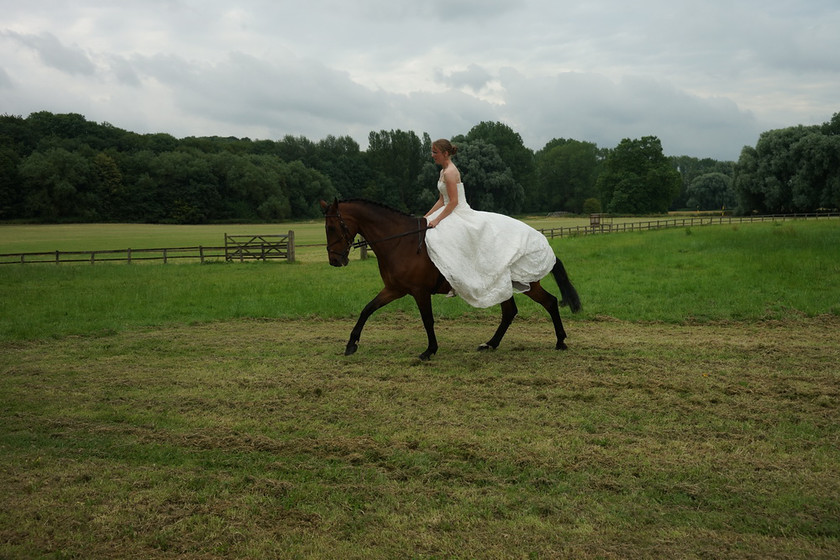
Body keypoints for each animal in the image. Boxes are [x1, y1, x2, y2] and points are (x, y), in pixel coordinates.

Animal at [318, 199, 580, 360]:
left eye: (331, 227)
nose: (334, 260)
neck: (401, 241)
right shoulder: (394, 289)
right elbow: (367, 309)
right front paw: (351, 344)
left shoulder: (419, 291)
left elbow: (427, 320)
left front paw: (430, 350)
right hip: (503, 286)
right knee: (511, 312)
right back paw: (491, 344)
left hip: (527, 285)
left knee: (550, 302)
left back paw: (560, 342)